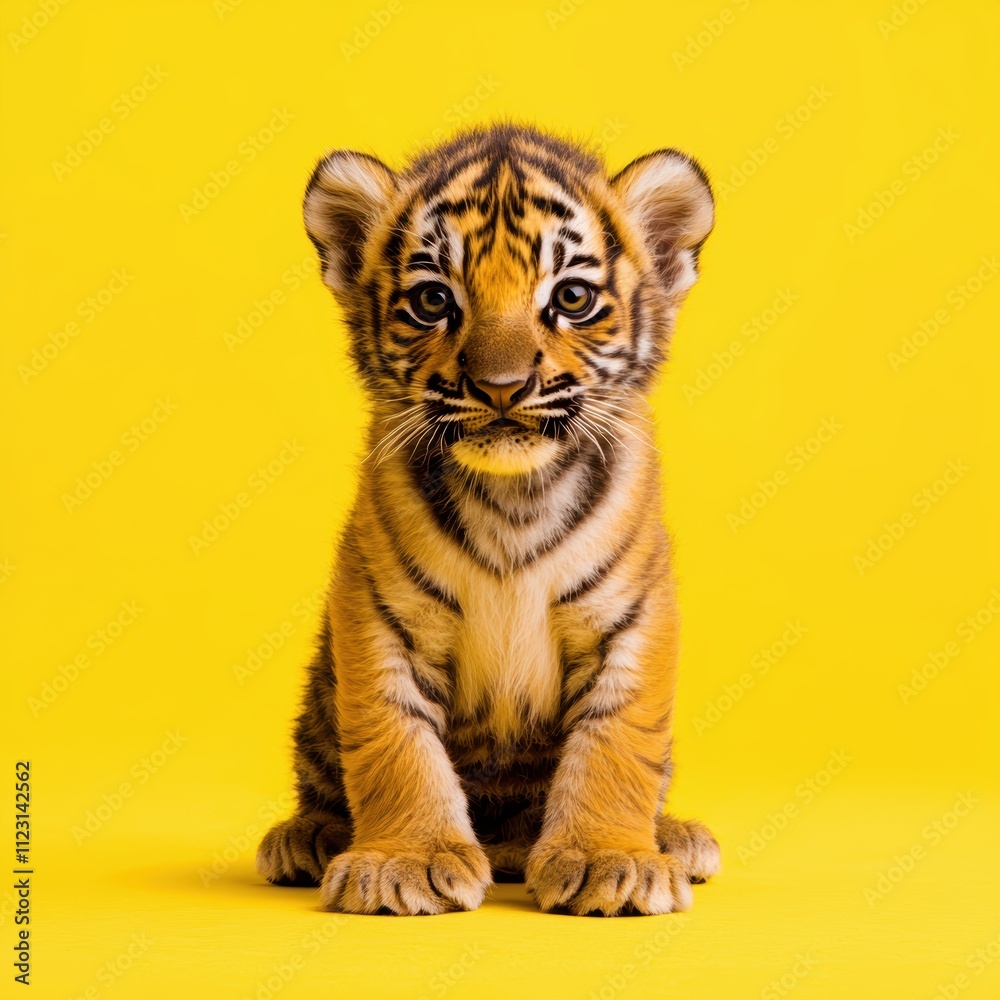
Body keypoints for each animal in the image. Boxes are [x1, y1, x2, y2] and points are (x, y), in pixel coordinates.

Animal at [256, 123, 721, 916]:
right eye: (433, 300)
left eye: (572, 297)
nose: (501, 387)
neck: (514, 497)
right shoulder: (377, 612)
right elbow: (393, 740)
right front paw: (402, 863)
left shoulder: (633, 613)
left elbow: (618, 739)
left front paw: (611, 860)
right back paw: (308, 837)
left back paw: (674, 838)